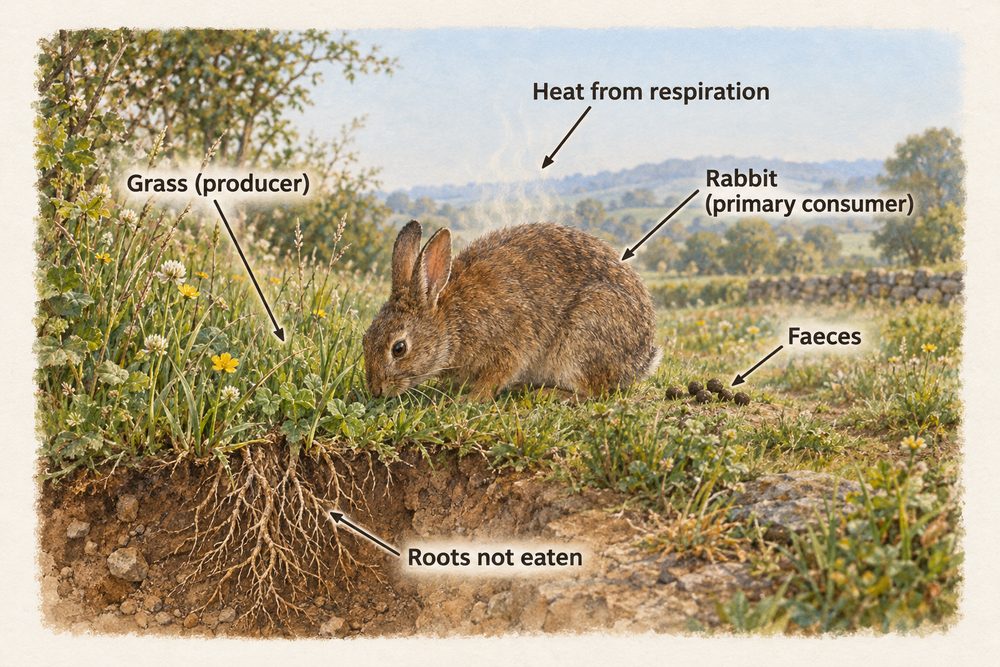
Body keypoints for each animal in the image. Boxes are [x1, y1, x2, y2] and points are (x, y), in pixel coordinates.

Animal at [362, 220, 660, 400]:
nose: (376, 390)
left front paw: (471, 398)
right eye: (365, 340)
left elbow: (497, 374)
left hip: (582, 338)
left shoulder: (509, 341)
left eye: (399, 348)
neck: (450, 321)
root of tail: (640, 359)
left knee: (593, 391)